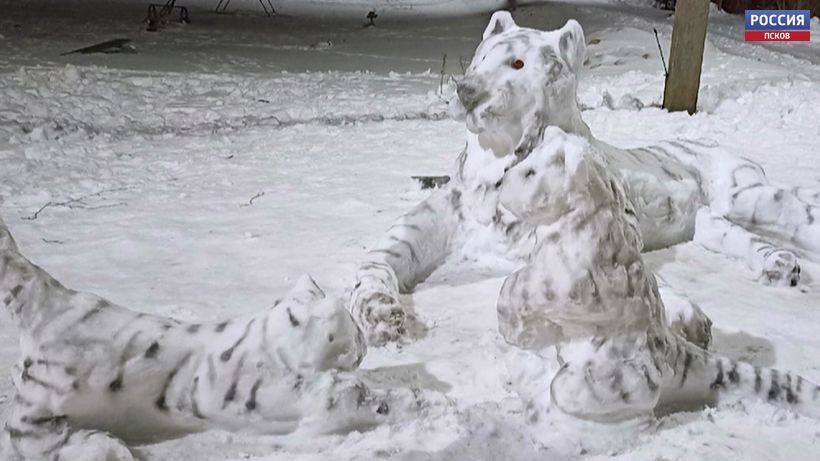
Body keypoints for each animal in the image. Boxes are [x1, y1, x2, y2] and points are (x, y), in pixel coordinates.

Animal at [0, 217, 442, 460]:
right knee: (26, 435)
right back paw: (105, 448)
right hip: (46, 396)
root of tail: (49, 299)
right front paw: (422, 402)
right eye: (354, 335)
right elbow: (355, 396)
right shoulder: (295, 397)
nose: (364, 347)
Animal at [350, 10, 816, 344]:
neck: (491, 162)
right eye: (480, 58)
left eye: (517, 63)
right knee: (738, 236)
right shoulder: (417, 232)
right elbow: (375, 264)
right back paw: (779, 264)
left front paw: (685, 317)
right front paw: (382, 318)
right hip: (712, 221)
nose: (466, 90)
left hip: (751, 196)